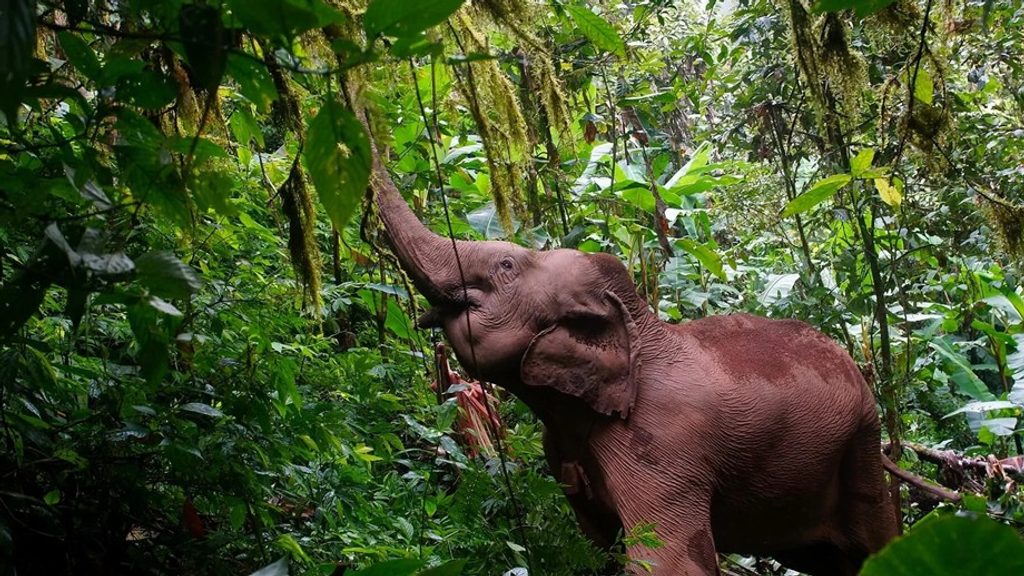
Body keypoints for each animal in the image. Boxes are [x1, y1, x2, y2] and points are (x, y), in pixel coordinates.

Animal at [369, 147, 897, 574]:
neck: (642, 328)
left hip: (863, 444)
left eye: (505, 266)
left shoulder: (664, 450)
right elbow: (599, 546)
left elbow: (667, 562)